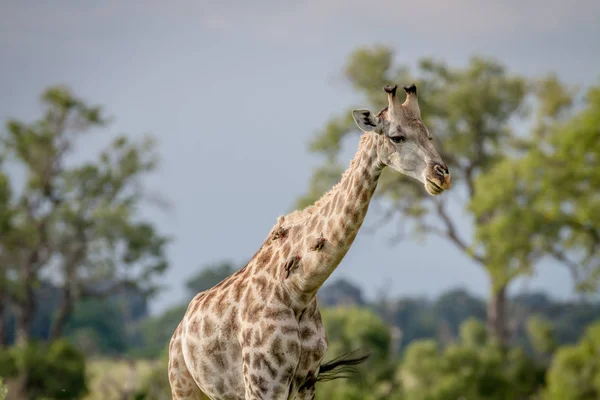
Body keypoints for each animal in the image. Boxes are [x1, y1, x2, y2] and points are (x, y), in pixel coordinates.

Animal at [166, 83, 452, 398]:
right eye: (397, 137)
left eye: (428, 135)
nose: (441, 175)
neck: (299, 290)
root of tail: (179, 330)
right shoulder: (262, 382)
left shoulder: (306, 381)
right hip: (182, 385)